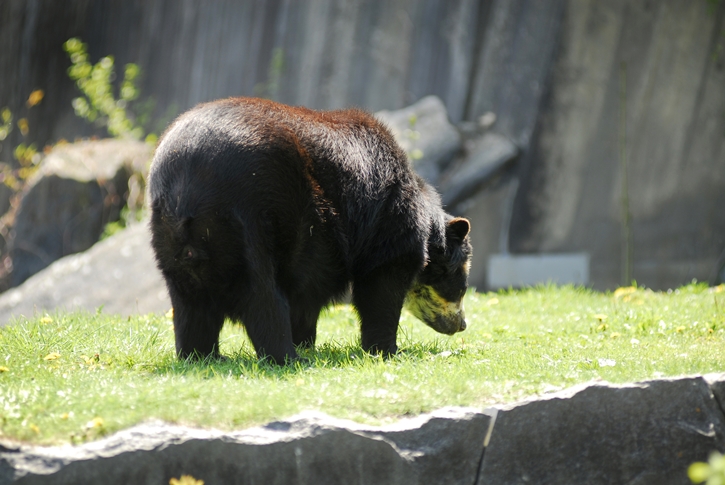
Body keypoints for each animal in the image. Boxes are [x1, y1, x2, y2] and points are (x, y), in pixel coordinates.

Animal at [150, 97, 472, 364]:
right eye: (462, 285)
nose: (461, 324)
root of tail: (187, 186)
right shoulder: (384, 223)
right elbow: (380, 287)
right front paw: (387, 350)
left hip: (174, 240)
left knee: (191, 305)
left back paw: (202, 356)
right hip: (251, 219)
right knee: (262, 296)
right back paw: (287, 358)